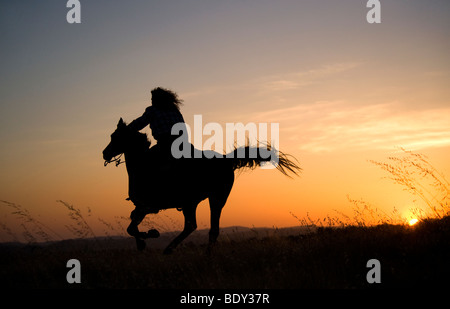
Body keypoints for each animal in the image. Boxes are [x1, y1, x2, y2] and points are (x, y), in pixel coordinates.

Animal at [102, 118, 298, 253]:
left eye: (115, 136)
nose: (105, 153)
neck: (142, 166)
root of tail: (226, 160)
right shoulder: (142, 207)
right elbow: (132, 224)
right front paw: (142, 242)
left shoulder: (148, 206)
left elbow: (131, 227)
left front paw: (150, 234)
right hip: (193, 203)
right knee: (194, 226)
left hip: (214, 199)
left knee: (206, 228)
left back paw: (186, 251)